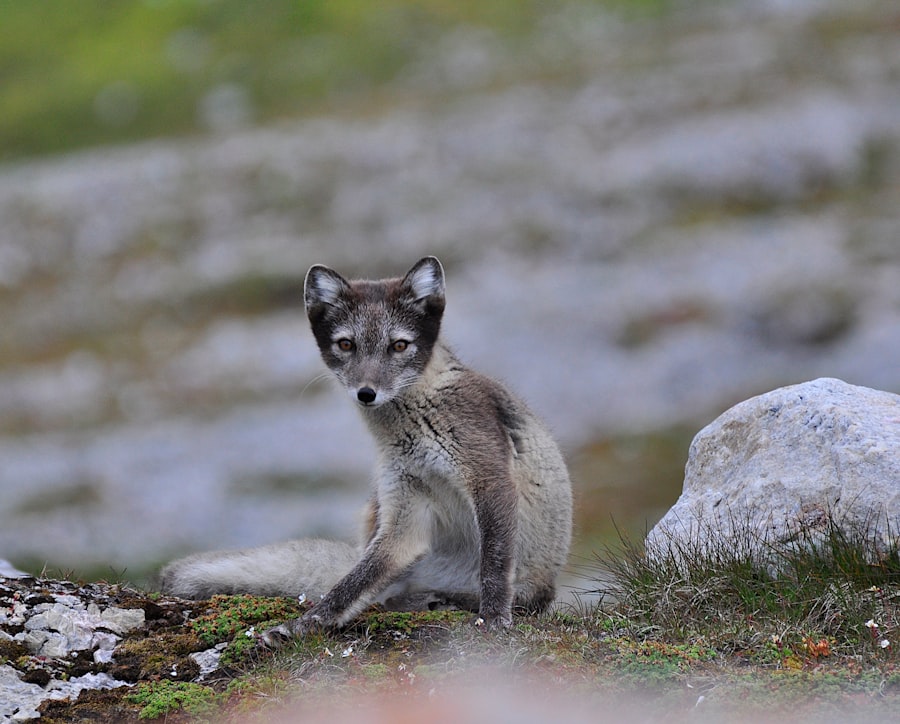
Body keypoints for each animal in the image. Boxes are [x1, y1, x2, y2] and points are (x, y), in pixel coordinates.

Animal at [159, 256, 572, 642]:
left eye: (399, 345)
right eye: (346, 344)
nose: (366, 393)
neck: (414, 424)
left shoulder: (489, 478)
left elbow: (495, 564)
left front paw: (495, 619)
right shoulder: (405, 506)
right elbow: (351, 584)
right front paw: (306, 625)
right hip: (376, 515)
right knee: (380, 589)